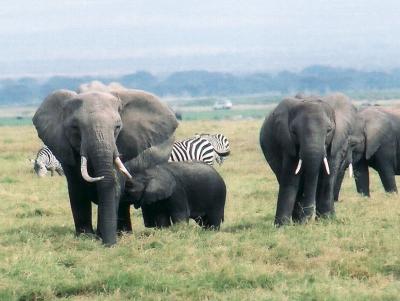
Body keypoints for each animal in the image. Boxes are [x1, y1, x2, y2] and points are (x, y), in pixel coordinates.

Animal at [33, 88, 177, 245]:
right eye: (75, 128)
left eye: (117, 127)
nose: (109, 245)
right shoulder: (65, 149)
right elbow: (77, 188)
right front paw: (85, 237)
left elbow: (114, 186)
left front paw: (101, 237)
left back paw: (122, 234)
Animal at [260, 92, 356, 224]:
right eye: (294, 132)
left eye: (329, 130)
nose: (308, 220)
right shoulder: (287, 143)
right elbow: (291, 176)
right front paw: (282, 225)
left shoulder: (336, 142)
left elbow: (328, 175)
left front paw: (326, 220)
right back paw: (296, 220)